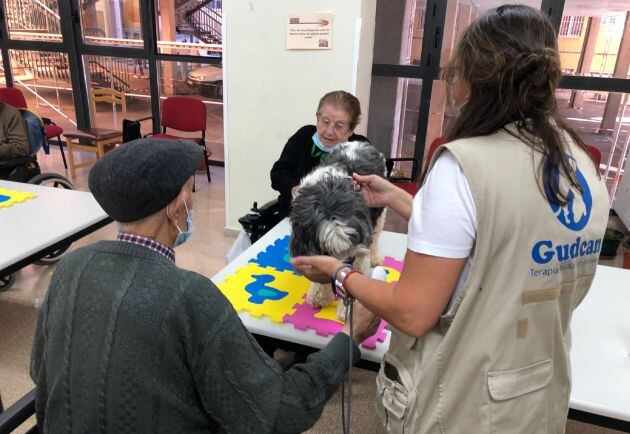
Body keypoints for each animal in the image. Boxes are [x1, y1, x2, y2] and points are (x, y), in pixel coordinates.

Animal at [292, 142, 390, 318]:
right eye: (328, 249)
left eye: (353, 241)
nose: (349, 261)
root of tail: (361, 143)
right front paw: (319, 295)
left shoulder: (362, 241)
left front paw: (350, 310)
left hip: (380, 212)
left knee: (376, 237)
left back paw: (375, 257)